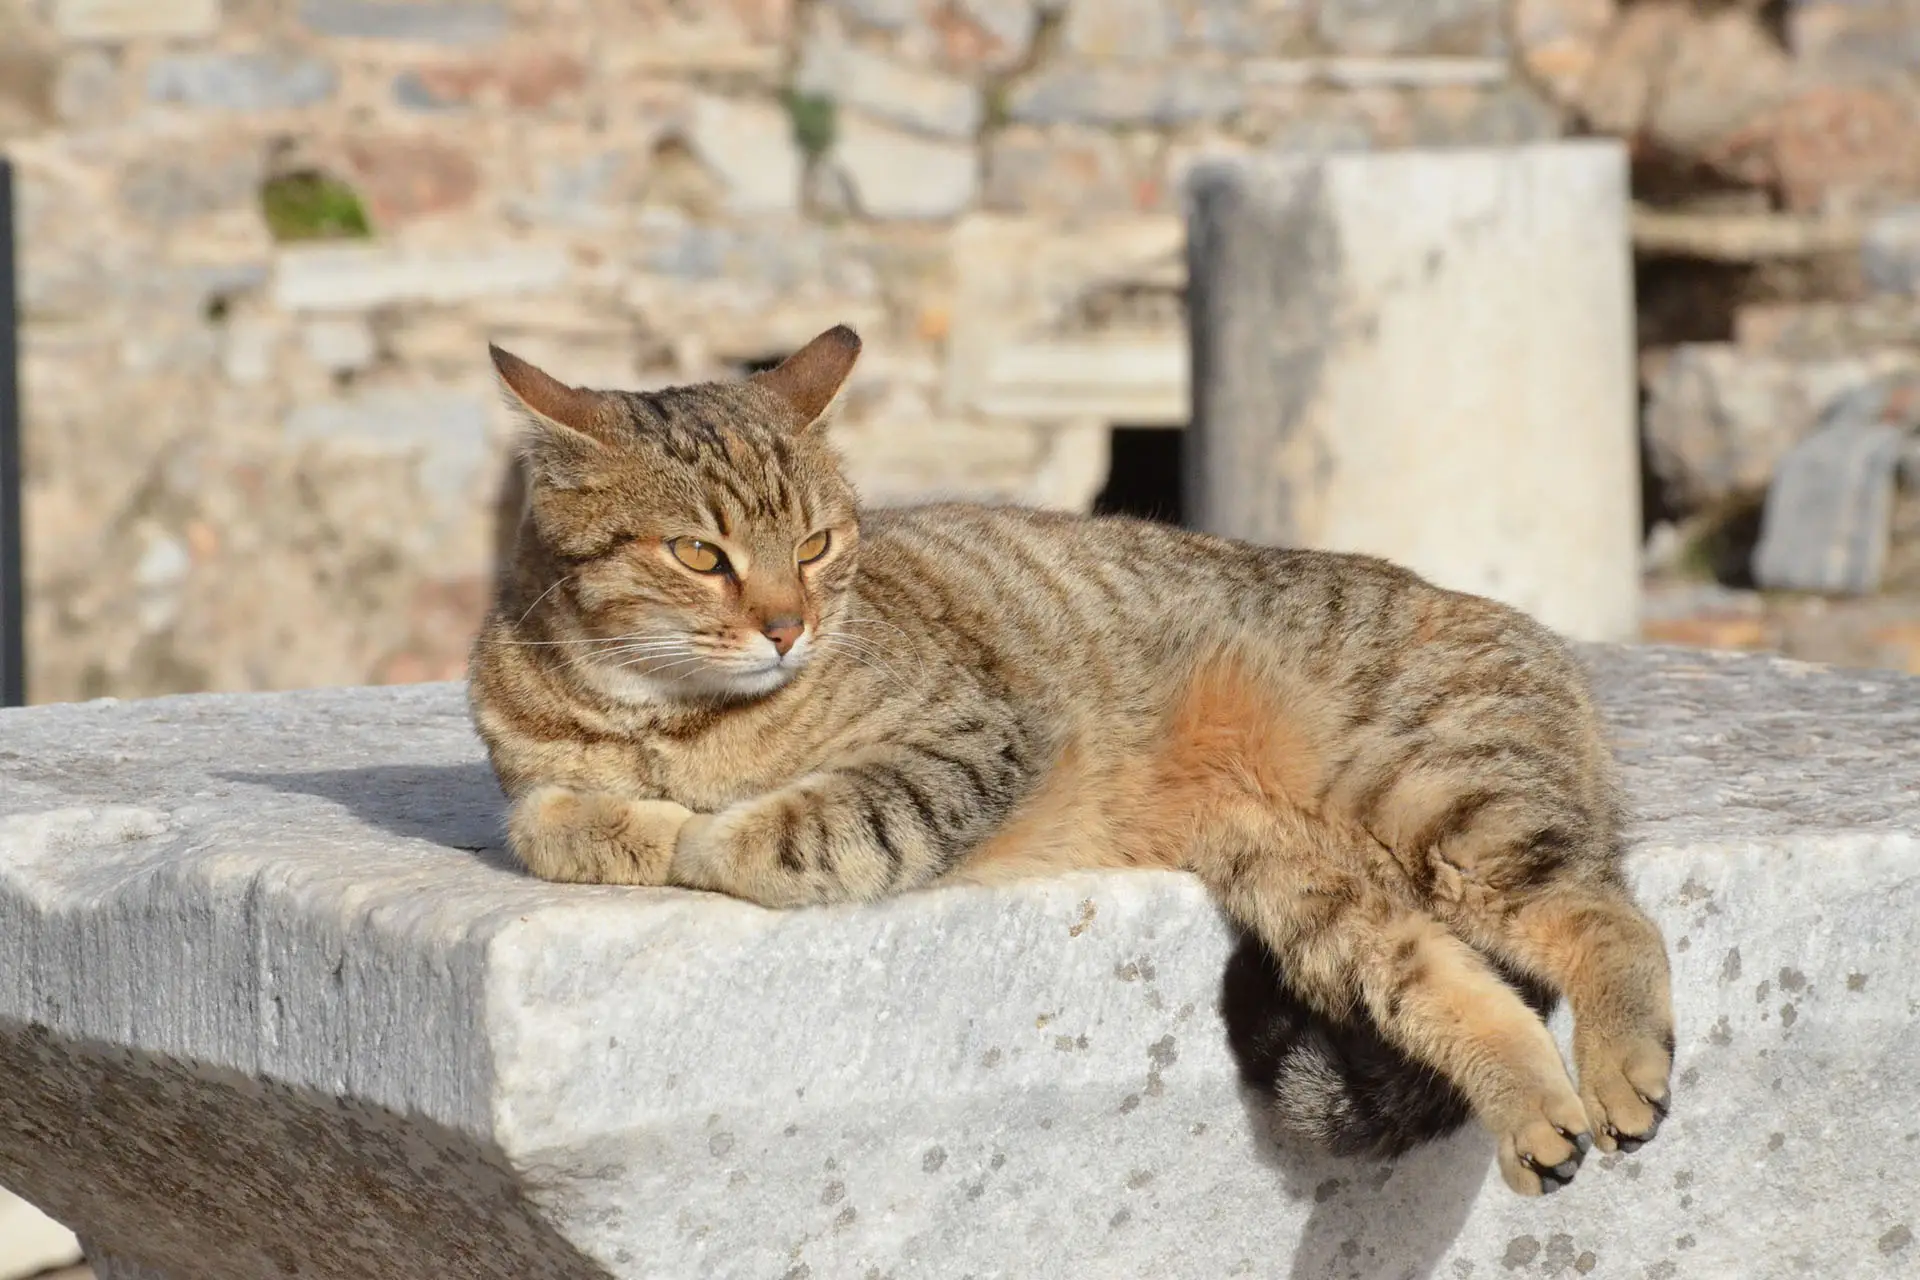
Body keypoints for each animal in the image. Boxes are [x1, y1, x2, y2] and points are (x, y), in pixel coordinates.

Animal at [460, 322, 1666, 1205]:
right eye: (698, 555)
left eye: (814, 544)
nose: (786, 626)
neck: (663, 717)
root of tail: (1558, 658)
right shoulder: (528, 785)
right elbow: (554, 819)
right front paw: (632, 818)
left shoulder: (966, 741)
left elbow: (775, 834)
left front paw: (699, 825)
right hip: (1320, 898)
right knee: (1462, 990)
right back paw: (1538, 1116)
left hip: (1436, 794)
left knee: (1613, 918)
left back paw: (1622, 1070)